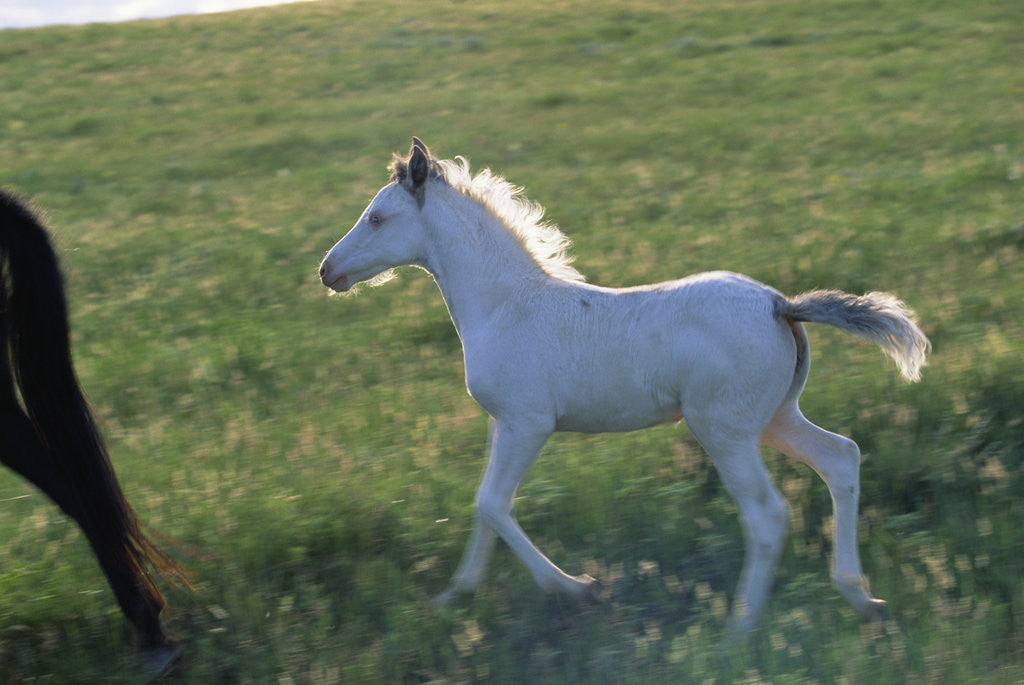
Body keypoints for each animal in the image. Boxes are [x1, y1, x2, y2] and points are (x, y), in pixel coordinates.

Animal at [318, 138, 929, 633]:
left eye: (376, 218)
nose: (327, 271)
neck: (506, 306)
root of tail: (781, 305)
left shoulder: (527, 423)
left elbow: (494, 502)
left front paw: (578, 588)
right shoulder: (502, 422)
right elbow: (482, 505)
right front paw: (456, 594)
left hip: (723, 429)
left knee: (767, 513)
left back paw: (741, 627)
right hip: (776, 417)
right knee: (841, 458)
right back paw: (861, 598)